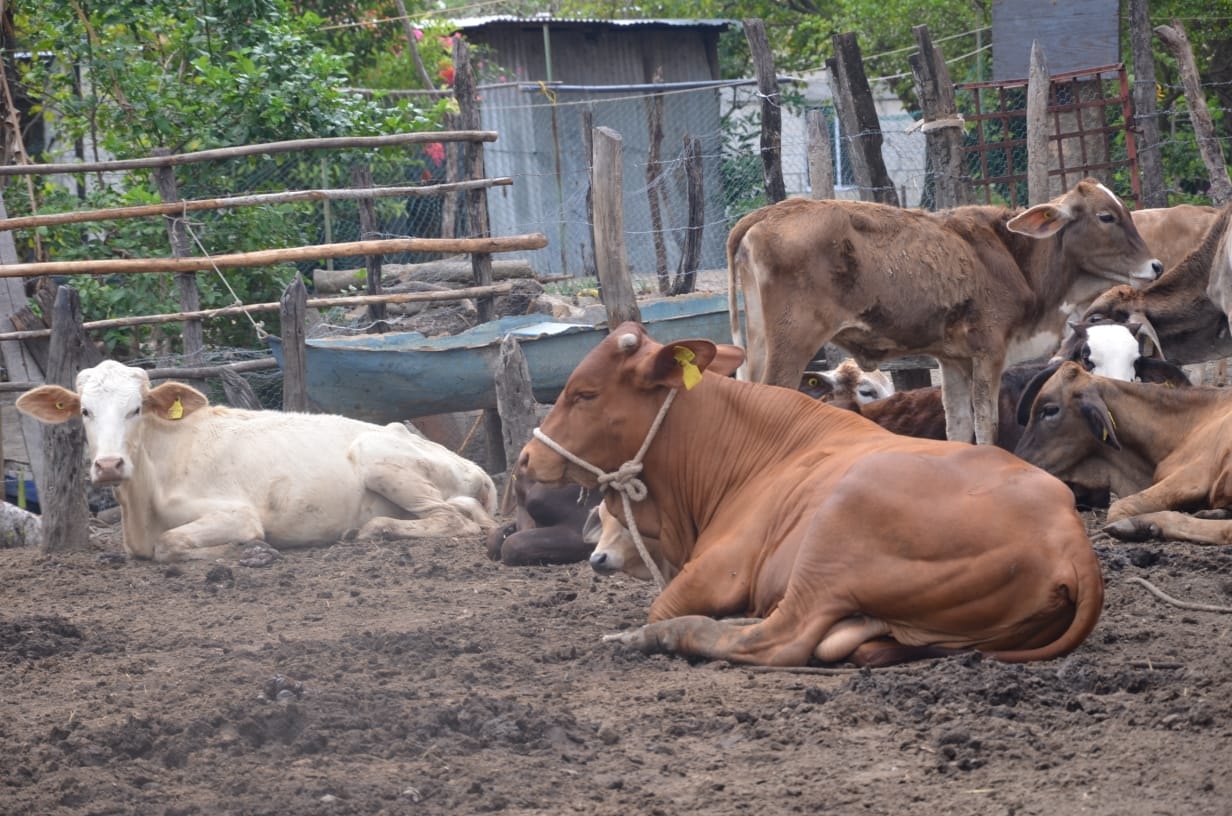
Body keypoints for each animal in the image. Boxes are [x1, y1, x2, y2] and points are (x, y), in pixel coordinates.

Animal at [16, 362, 497, 562]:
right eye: (85, 411)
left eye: (136, 409)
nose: (109, 465)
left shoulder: (239, 514)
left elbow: (170, 544)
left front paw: (248, 550)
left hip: (376, 455)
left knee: (451, 519)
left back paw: (371, 530)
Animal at [514, 322, 1103, 670]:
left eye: (584, 393)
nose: (523, 458)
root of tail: (1068, 536)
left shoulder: (715, 570)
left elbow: (663, 605)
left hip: (835, 534)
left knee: (782, 638)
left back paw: (658, 637)